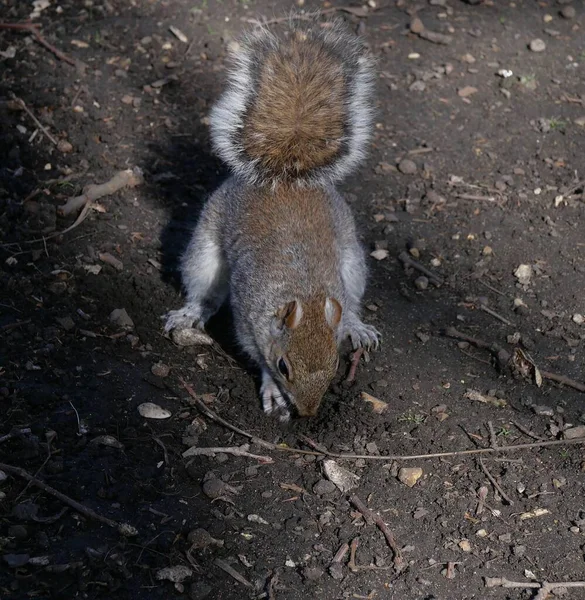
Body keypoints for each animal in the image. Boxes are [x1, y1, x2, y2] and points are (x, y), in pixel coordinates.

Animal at [164, 21, 380, 420]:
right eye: (284, 366)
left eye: (334, 363)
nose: (309, 413)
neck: (305, 291)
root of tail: (286, 179)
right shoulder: (247, 318)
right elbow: (255, 355)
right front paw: (271, 389)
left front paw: (350, 329)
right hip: (204, 251)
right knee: (204, 291)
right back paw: (191, 312)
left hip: (352, 261)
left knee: (353, 300)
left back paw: (357, 325)